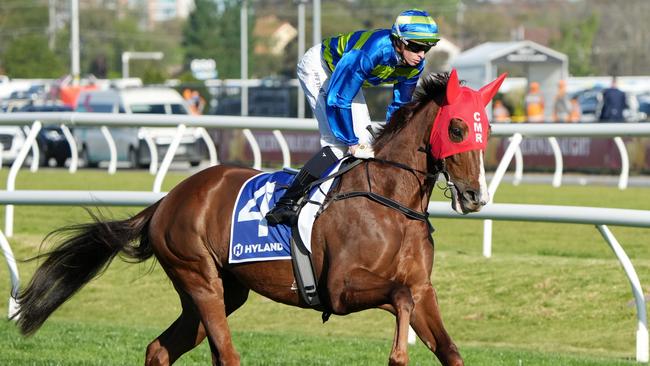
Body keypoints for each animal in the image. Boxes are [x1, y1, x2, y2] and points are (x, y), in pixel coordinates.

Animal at [12, 69, 504, 366]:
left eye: (488, 129)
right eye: (457, 128)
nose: (475, 196)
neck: (389, 201)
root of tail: (168, 200)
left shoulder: (423, 289)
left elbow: (447, 345)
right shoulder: (340, 290)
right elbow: (398, 298)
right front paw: (398, 353)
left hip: (222, 290)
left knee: (159, 349)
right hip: (199, 278)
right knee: (225, 355)